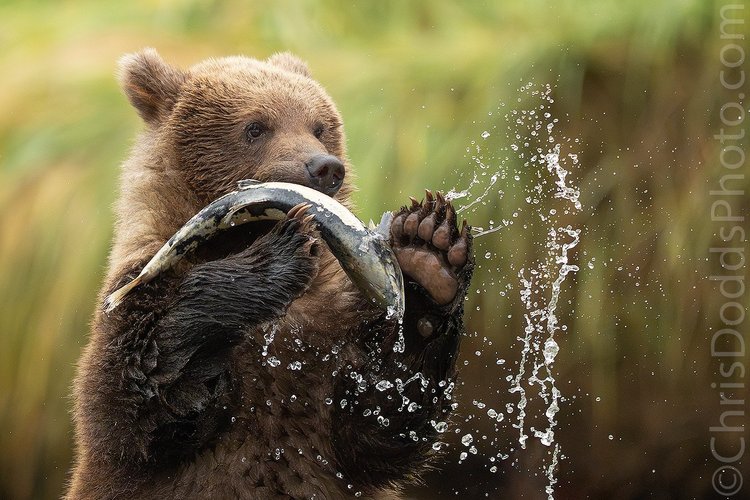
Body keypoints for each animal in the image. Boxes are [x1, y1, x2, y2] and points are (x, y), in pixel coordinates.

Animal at [68, 49, 473, 499]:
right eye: (256, 126)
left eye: (318, 126)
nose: (325, 167)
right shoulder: (137, 299)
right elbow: (141, 402)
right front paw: (278, 253)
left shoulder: (330, 328)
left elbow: (377, 420)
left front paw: (428, 249)